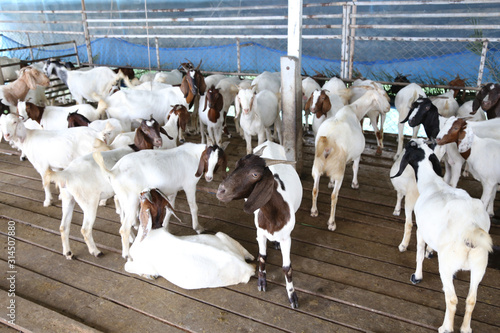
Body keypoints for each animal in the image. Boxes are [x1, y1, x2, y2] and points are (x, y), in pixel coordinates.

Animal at [93, 141, 228, 258]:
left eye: (219, 161)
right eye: (205, 159)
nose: (209, 177)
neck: (194, 155)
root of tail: (114, 171)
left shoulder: (173, 189)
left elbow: (170, 208)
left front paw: (165, 227)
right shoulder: (189, 185)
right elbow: (193, 206)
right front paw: (198, 227)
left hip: (123, 197)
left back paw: (132, 237)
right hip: (131, 200)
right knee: (123, 229)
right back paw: (127, 254)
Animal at [123, 188, 256, 290]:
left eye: (142, 197)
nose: (143, 190)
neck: (153, 230)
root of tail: (245, 265)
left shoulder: (147, 264)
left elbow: (127, 266)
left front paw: (149, 275)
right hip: (222, 235)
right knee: (249, 254)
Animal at [217, 141, 302, 308]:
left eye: (255, 174)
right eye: (236, 165)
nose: (220, 191)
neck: (273, 216)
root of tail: (269, 141)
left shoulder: (286, 238)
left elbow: (287, 268)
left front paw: (292, 296)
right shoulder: (261, 233)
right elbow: (263, 257)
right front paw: (262, 282)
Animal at [312, 90, 390, 231]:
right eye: (382, 95)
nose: (388, 107)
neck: (355, 110)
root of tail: (328, 140)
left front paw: (330, 182)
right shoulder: (357, 154)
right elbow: (355, 167)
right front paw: (355, 184)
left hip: (317, 164)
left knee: (315, 189)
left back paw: (314, 211)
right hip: (339, 170)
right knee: (334, 196)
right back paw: (332, 223)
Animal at [390, 138, 492, 333]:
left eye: (410, 146)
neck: (432, 183)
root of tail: (471, 228)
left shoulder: (422, 230)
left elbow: (419, 253)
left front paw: (417, 276)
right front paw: (430, 252)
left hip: (446, 264)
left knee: (452, 299)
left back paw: (446, 327)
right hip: (479, 265)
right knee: (471, 299)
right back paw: (466, 328)